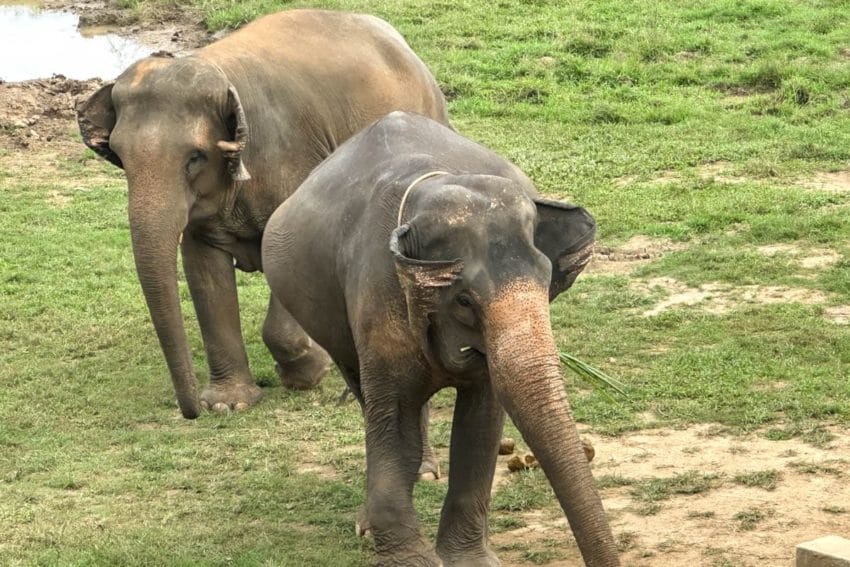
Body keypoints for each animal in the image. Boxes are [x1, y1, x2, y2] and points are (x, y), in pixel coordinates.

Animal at [76, 9, 450, 419]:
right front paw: (229, 403)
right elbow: (202, 269)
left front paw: (309, 372)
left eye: (195, 158)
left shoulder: (291, 159)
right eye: (120, 156)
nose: (192, 410)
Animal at [261, 111, 619, 566]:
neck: (436, 184)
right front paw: (410, 559)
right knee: (364, 393)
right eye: (464, 299)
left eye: (546, 281)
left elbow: (481, 418)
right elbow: (392, 416)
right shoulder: (377, 293)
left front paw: (471, 560)